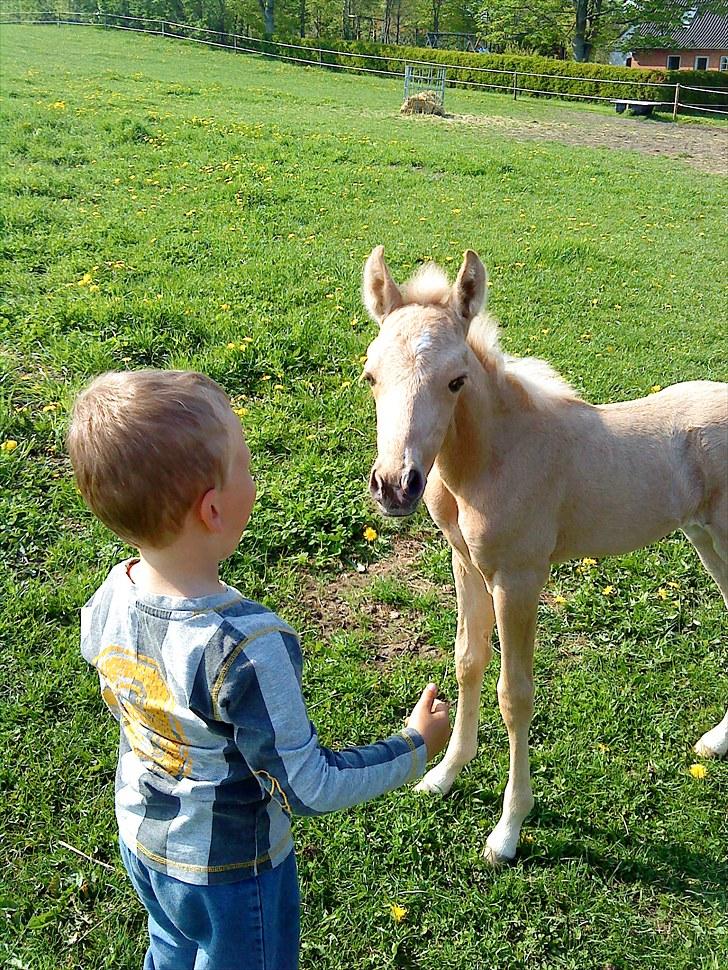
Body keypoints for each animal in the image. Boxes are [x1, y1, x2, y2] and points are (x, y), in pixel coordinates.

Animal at [364, 244, 728, 864]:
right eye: (370, 375)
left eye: (456, 380)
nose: (395, 486)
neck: (495, 457)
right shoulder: (466, 565)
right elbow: (468, 661)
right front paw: (443, 775)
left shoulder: (519, 579)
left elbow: (515, 695)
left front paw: (508, 831)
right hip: (705, 539)